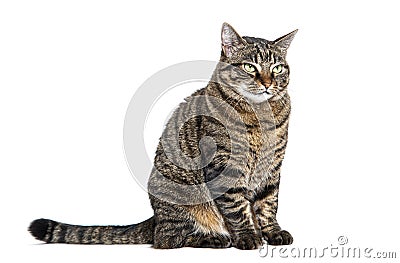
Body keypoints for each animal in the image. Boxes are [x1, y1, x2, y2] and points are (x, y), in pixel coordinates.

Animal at [28, 22, 296, 250]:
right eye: (250, 67)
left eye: (277, 68)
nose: (268, 83)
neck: (261, 115)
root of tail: (155, 217)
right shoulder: (224, 166)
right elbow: (237, 207)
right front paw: (248, 236)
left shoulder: (273, 167)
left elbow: (268, 203)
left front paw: (271, 232)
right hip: (183, 199)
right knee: (167, 238)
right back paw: (213, 238)